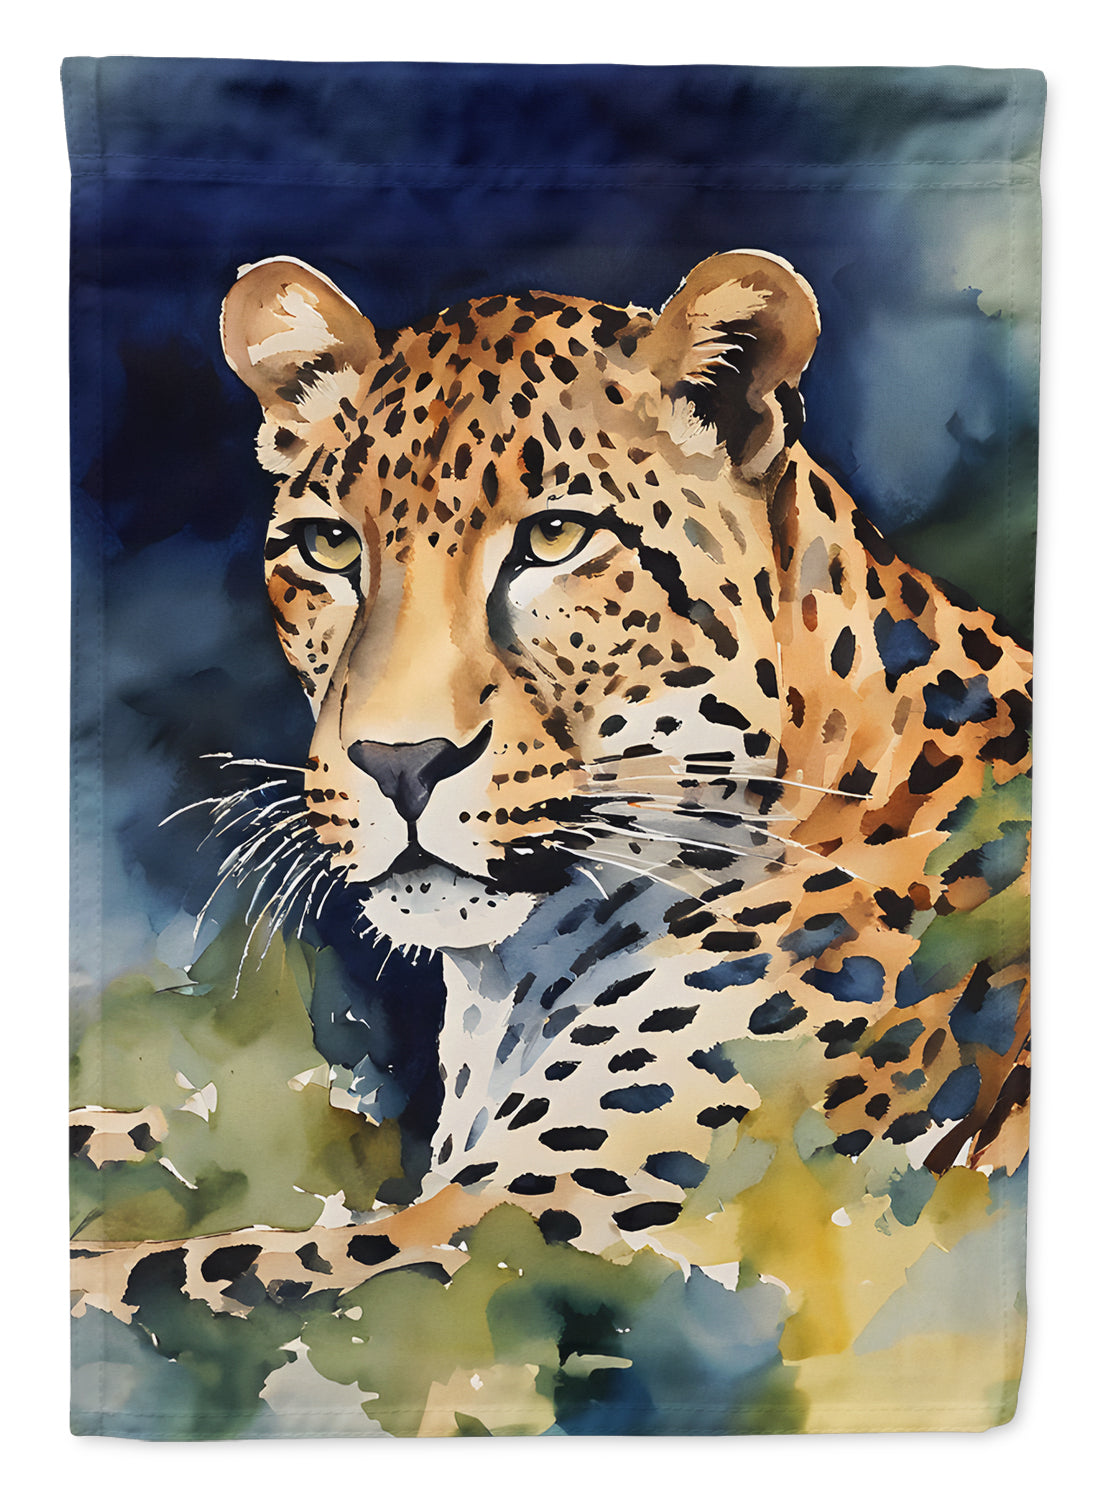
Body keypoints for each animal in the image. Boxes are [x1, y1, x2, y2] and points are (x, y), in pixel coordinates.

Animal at [72, 251, 1031, 1398]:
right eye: (330, 546)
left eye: (555, 538)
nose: (399, 761)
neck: (510, 979)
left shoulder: (521, 1237)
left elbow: (175, 1279)